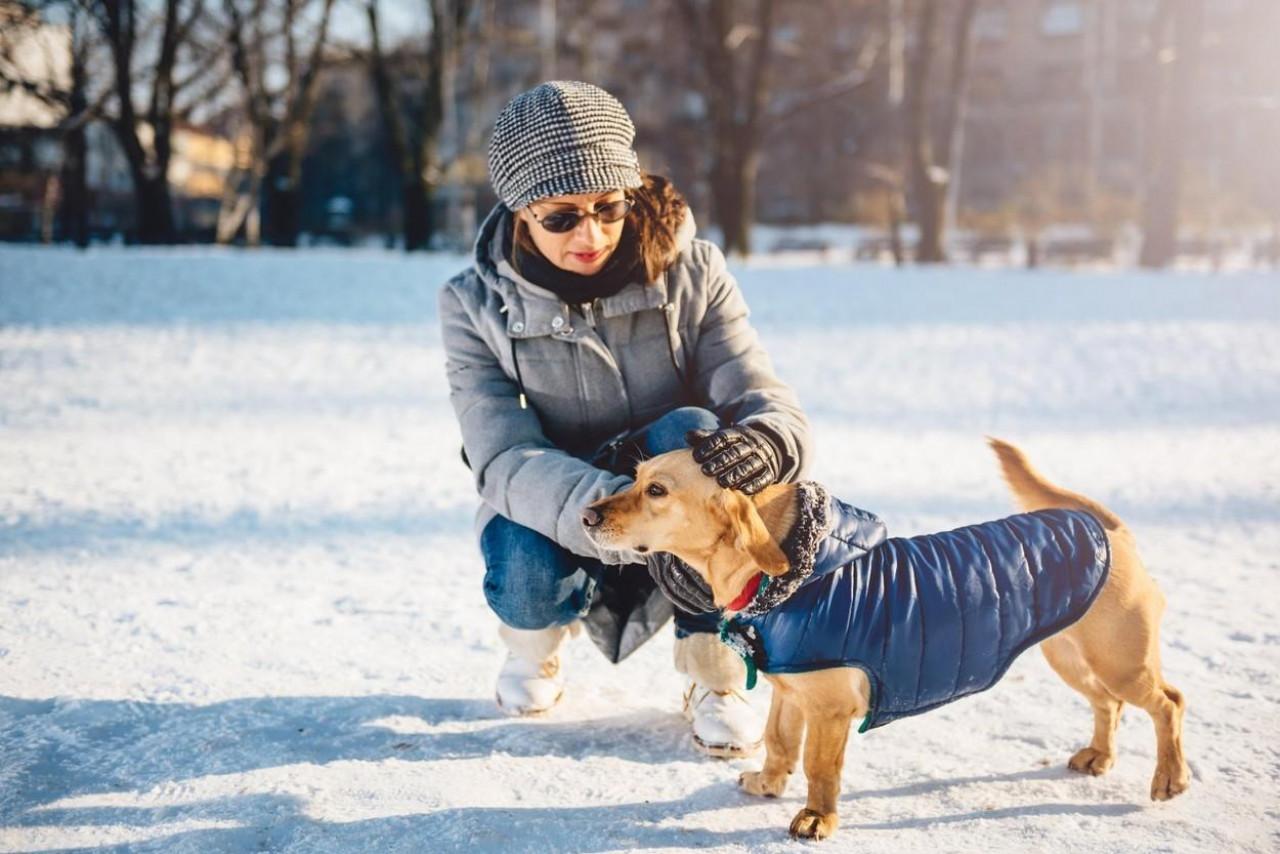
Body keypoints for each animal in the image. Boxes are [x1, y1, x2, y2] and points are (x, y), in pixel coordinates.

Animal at [581, 440, 1187, 839]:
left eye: (657, 490)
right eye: (635, 476)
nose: (586, 515)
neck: (794, 571)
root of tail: (1105, 525)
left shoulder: (829, 711)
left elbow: (821, 769)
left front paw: (816, 818)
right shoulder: (790, 694)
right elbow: (780, 743)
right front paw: (769, 784)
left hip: (1121, 661)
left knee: (1169, 704)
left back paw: (1170, 778)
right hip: (1073, 658)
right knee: (1108, 706)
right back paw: (1100, 756)